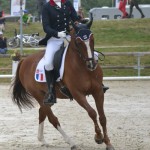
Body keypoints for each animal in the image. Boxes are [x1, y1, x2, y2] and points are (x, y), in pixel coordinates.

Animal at [11, 15, 115, 150]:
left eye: (92, 39)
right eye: (78, 41)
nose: (91, 64)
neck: (83, 67)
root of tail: (24, 60)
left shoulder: (98, 91)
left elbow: (102, 117)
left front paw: (108, 143)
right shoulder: (78, 94)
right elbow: (92, 112)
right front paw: (98, 137)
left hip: (46, 98)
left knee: (42, 112)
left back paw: (42, 140)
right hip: (38, 95)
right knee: (52, 118)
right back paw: (71, 142)